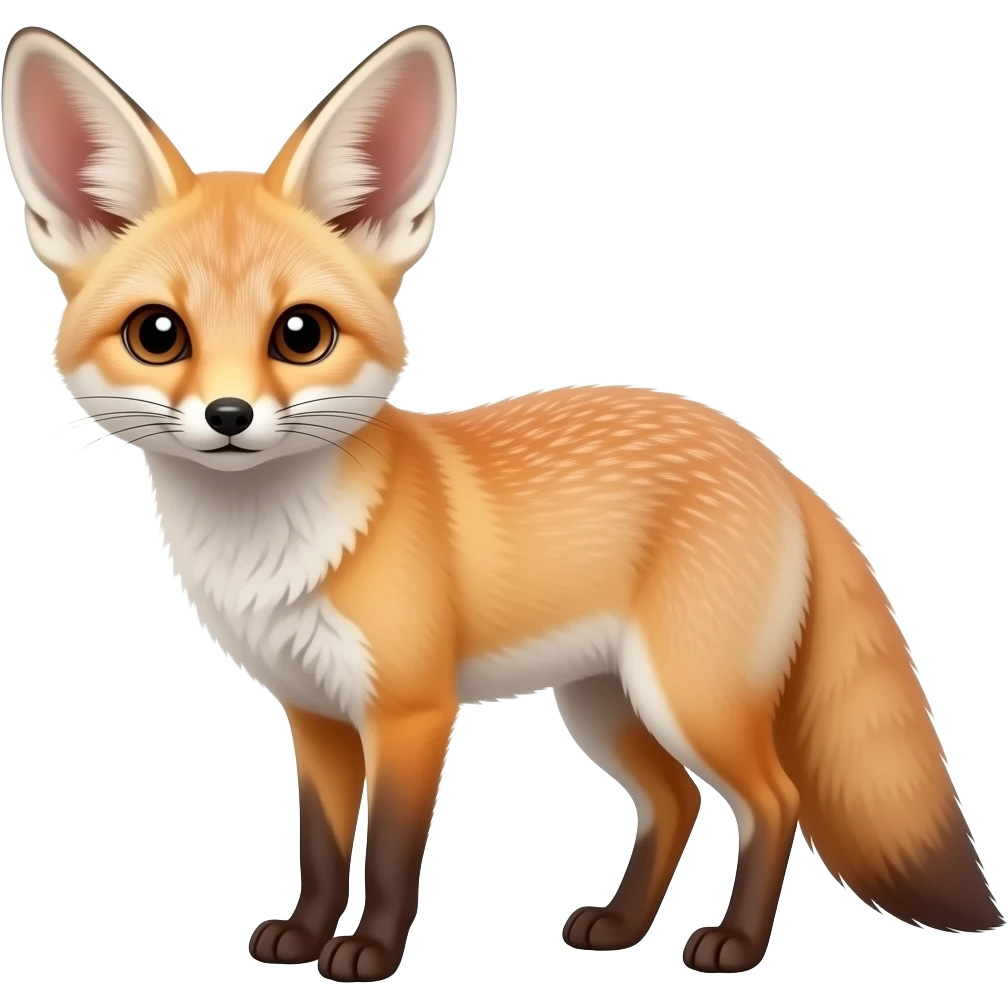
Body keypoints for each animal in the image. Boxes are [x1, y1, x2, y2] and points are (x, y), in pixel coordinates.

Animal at [4, 23, 1003, 982]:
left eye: (300, 334)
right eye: (157, 335)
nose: (228, 417)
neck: (277, 552)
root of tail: (776, 462)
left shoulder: (410, 711)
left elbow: (392, 852)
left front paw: (368, 955)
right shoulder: (314, 713)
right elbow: (322, 850)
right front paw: (304, 934)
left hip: (690, 698)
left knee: (773, 801)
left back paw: (735, 945)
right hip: (602, 704)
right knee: (675, 801)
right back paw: (622, 926)